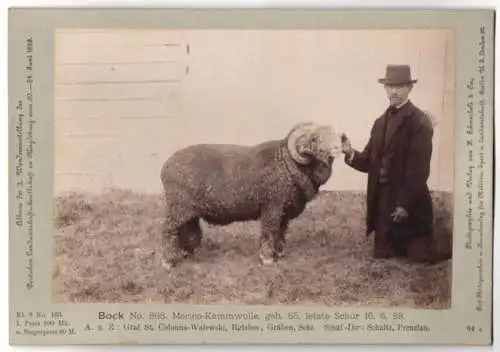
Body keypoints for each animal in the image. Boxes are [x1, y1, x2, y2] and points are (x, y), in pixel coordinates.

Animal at [158, 121, 342, 270]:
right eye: (315, 139)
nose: (337, 149)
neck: (286, 163)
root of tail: (165, 166)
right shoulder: (272, 206)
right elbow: (269, 231)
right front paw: (267, 258)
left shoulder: (284, 210)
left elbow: (281, 231)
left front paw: (279, 253)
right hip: (178, 207)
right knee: (168, 229)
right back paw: (168, 262)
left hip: (188, 211)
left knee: (186, 230)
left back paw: (186, 254)